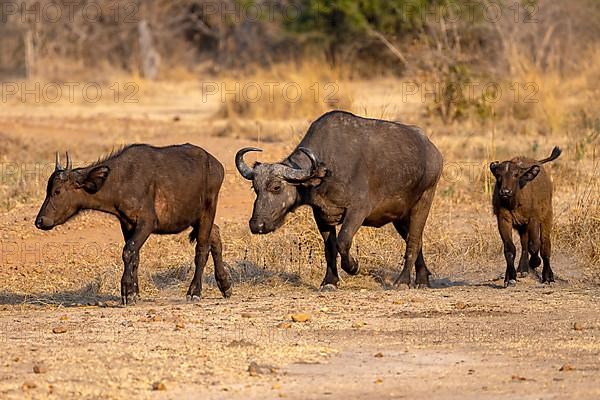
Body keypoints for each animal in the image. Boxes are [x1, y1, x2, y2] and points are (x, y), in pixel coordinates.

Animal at [35, 144, 232, 304]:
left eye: (57, 191)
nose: (40, 221)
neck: (121, 180)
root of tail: (216, 165)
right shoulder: (127, 224)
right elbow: (135, 256)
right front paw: (134, 292)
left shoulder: (147, 223)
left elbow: (128, 251)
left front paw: (127, 291)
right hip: (197, 218)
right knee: (215, 235)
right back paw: (225, 285)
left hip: (207, 211)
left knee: (202, 250)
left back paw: (194, 292)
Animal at [237, 111, 442, 290]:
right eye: (255, 188)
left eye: (276, 187)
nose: (257, 225)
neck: (327, 170)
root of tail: (433, 151)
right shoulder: (322, 215)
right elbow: (330, 248)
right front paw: (330, 281)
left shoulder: (357, 211)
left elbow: (343, 241)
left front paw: (354, 267)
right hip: (399, 217)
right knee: (416, 241)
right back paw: (423, 279)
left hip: (423, 202)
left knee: (413, 241)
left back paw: (403, 281)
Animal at [492, 147, 564, 288]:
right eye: (498, 175)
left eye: (516, 175)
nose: (505, 192)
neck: (514, 201)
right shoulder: (503, 219)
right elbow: (509, 248)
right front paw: (510, 278)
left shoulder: (533, 219)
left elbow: (535, 245)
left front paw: (535, 262)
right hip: (522, 226)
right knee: (524, 244)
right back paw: (522, 269)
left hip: (547, 216)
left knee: (545, 245)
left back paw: (548, 277)